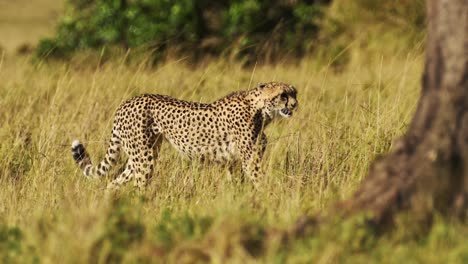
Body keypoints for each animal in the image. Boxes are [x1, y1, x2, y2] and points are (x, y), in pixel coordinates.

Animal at [71, 81, 298, 189]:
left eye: (294, 93)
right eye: (283, 95)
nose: (295, 104)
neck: (260, 108)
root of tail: (126, 102)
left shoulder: (232, 161)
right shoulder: (250, 159)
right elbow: (260, 180)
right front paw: (271, 197)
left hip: (141, 155)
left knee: (113, 183)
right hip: (143, 158)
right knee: (137, 186)